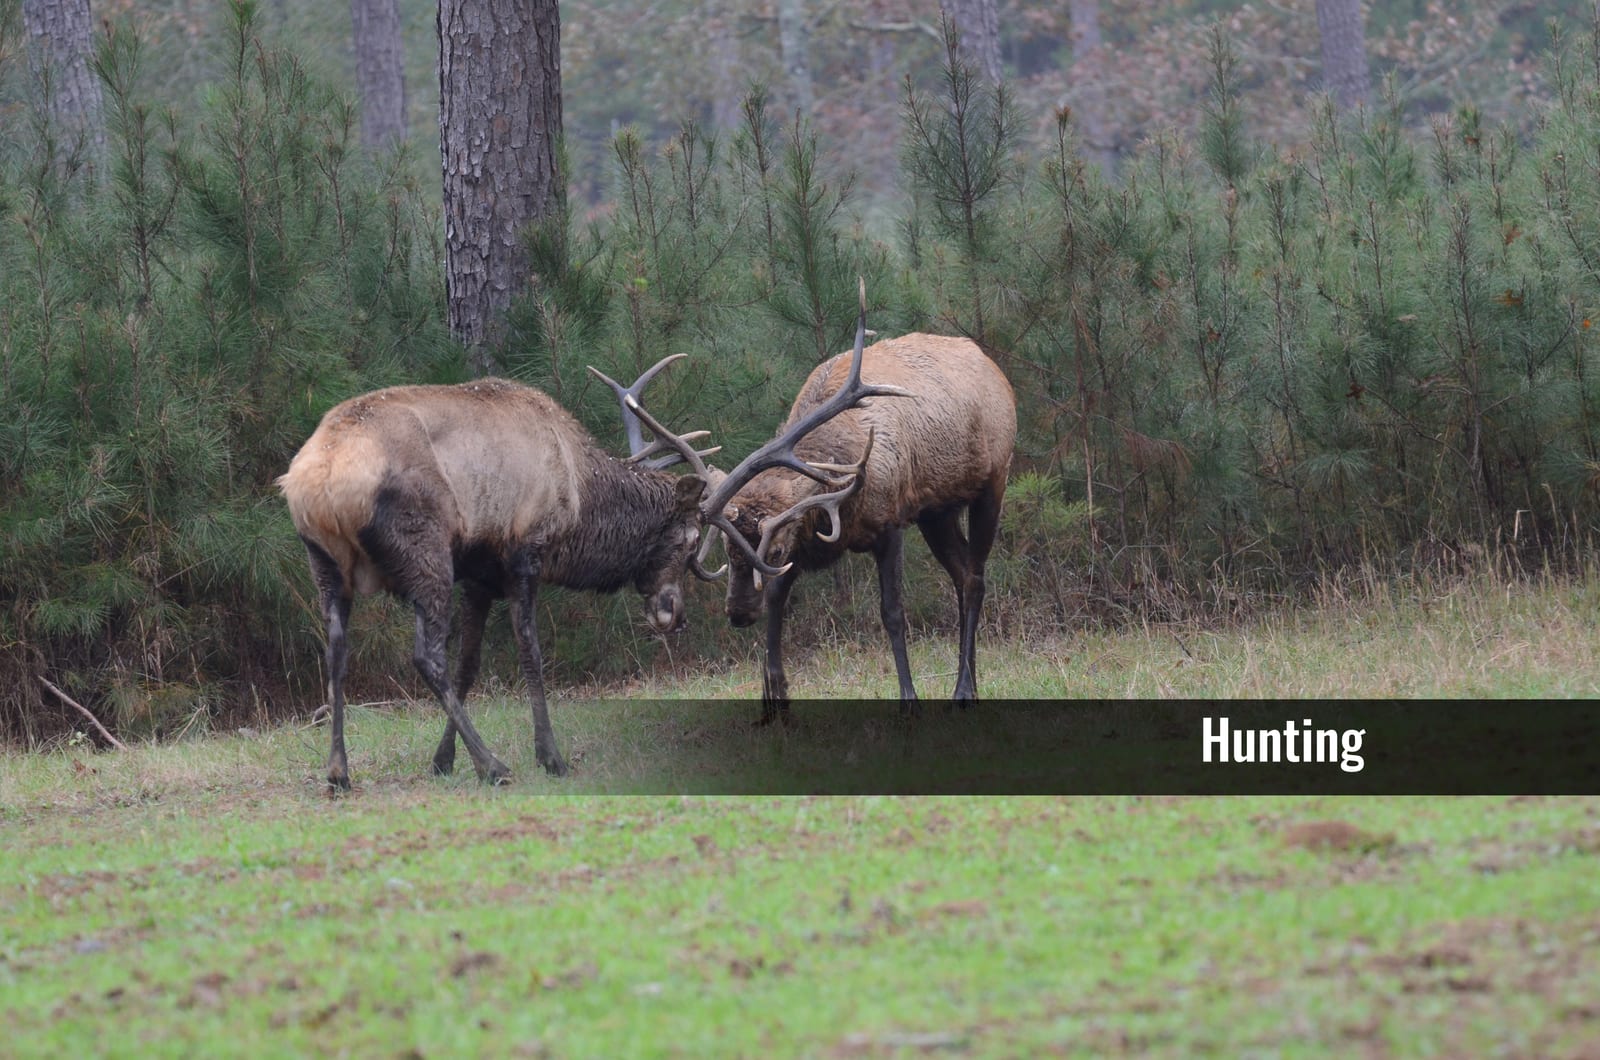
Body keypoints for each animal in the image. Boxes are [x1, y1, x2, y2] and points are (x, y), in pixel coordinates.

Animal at [277, 375, 721, 789]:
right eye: (690, 539)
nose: (674, 614)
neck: (579, 498)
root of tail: (318, 481)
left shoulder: (479, 576)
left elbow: (470, 664)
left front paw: (442, 760)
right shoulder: (524, 555)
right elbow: (531, 654)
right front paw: (550, 757)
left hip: (325, 566)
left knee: (336, 652)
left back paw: (338, 772)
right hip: (426, 554)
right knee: (426, 655)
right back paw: (493, 766)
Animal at [624, 282, 1017, 719]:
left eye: (774, 551)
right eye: (727, 550)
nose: (738, 614)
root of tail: (994, 367)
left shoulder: (889, 522)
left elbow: (892, 611)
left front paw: (908, 698)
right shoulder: (804, 537)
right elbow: (777, 602)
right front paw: (774, 697)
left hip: (992, 481)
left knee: (976, 578)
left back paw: (963, 687)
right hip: (937, 510)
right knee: (962, 573)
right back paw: (972, 683)